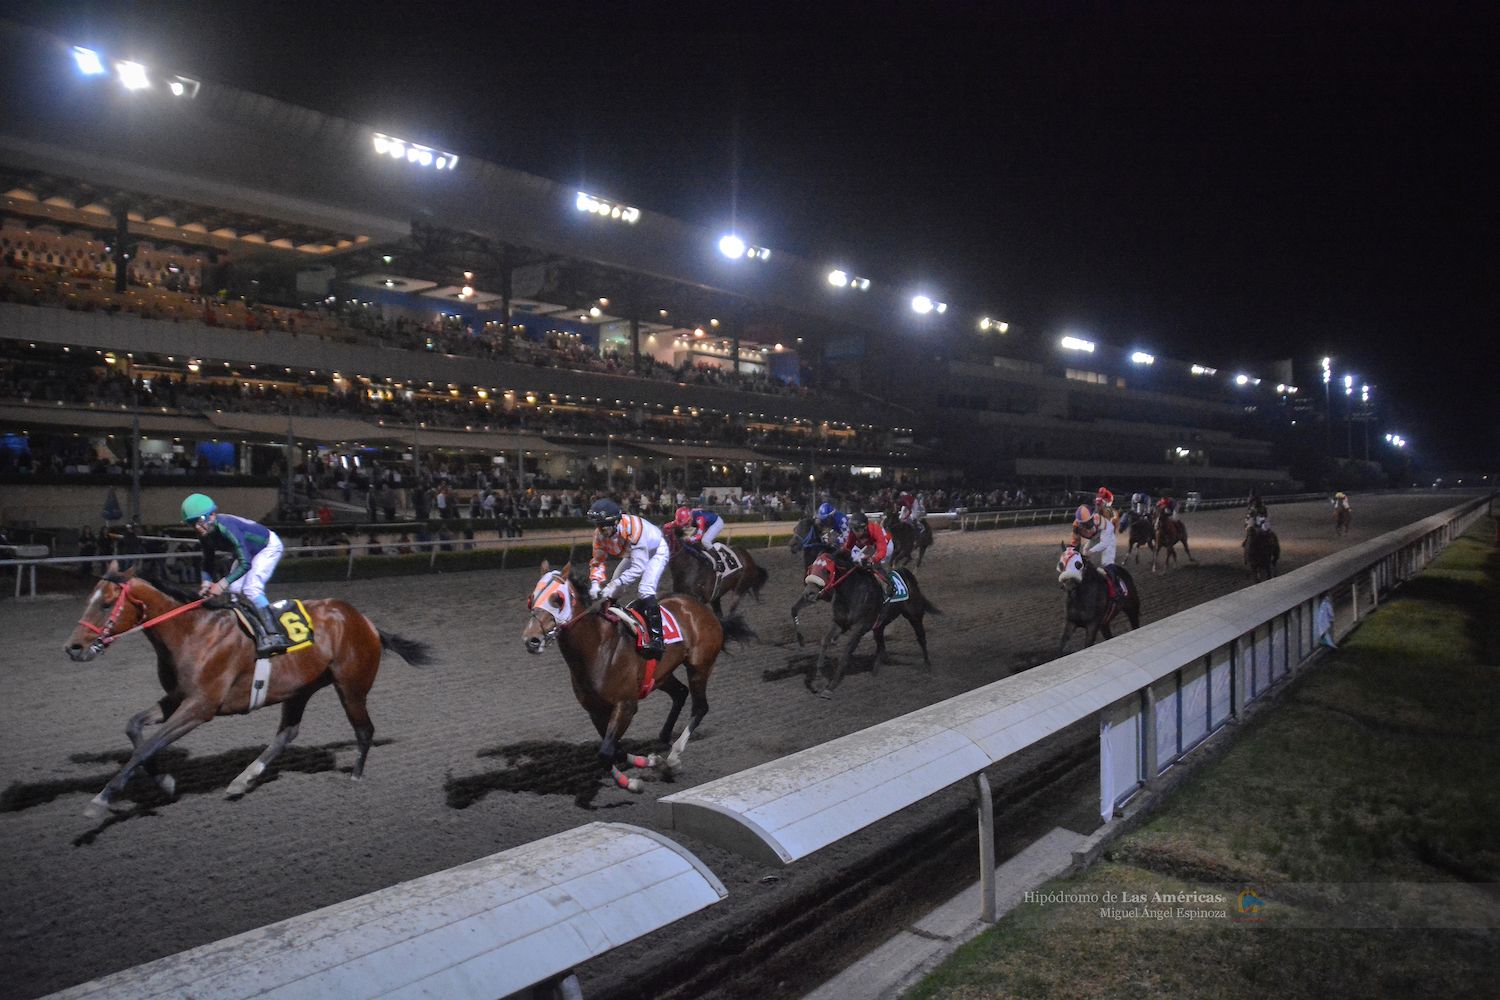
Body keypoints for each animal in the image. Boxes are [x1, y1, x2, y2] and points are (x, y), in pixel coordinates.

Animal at [62, 566, 432, 815]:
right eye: (90, 600)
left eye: (106, 604)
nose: (73, 648)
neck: (193, 632)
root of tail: (365, 622)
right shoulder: (178, 698)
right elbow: (135, 729)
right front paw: (164, 781)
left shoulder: (200, 707)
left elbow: (147, 746)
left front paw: (101, 798)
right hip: (299, 688)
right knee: (287, 733)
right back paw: (243, 779)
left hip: (351, 687)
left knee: (365, 730)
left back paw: (355, 777)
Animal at [519, 563, 750, 791]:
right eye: (532, 597)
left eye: (557, 599)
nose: (531, 640)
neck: (598, 648)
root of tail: (702, 609)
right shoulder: (595, 710)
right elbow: (614, 749)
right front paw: (651, 761)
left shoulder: (626, 706)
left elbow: (606, 753)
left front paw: (632, 782)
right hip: (661, 675)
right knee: (680, 693)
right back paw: (663, 740)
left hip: (699, 668)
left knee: (700, 706)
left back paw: (674, 757)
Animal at [798, 551, 936, 701]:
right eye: (811, 568)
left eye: (826, 571)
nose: (808, 594)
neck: (852, 591)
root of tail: (907, 573)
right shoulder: (841, 624)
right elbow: (825, 641)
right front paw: (818, 682)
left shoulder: (860, 628)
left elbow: (846, 652)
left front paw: (830, 687)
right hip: (879, 625)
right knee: (881, 647)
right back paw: (874, 673)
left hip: (914, 615)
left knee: (921, 637)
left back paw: (928, 665)